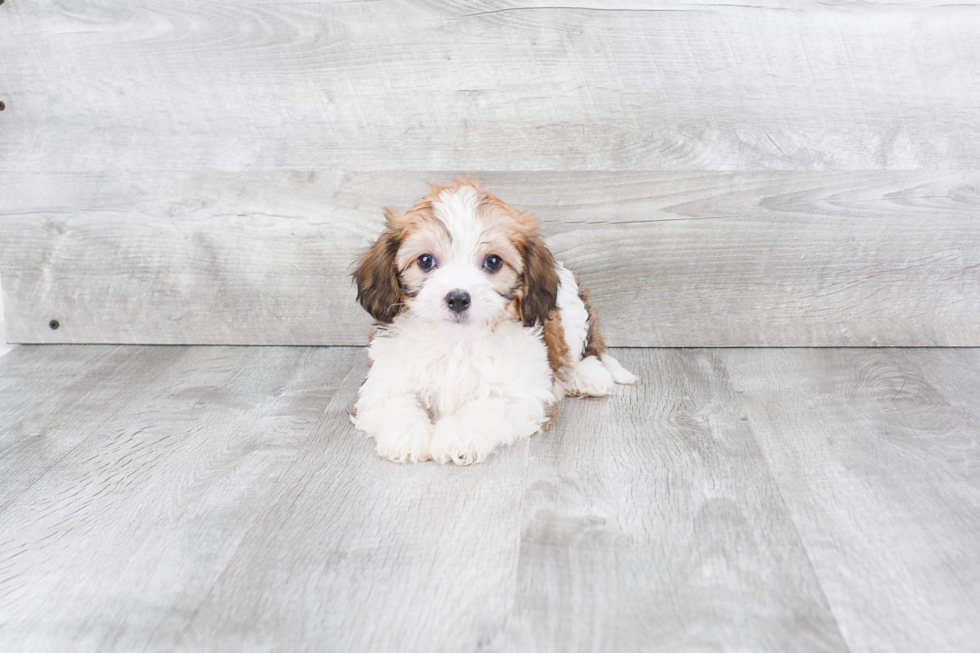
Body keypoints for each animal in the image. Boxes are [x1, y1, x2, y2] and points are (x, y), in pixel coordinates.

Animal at [350, 178, 636, 464]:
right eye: (426, 260)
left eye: (493, 262)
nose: (458, 298)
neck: (456, 341)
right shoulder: (385, 380)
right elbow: (395, 401)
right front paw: (405, 434)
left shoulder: (519, 395)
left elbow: (485, 408)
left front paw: (458, 437)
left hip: (573, 312)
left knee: (586, 351)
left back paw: (587, 376)